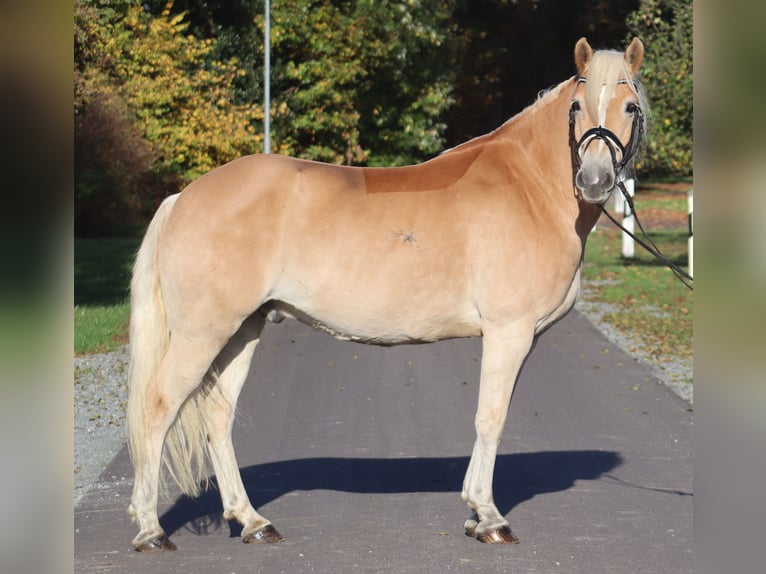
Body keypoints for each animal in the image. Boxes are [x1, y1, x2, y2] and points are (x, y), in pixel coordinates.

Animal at [126, 37, 648, 552]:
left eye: (630, 107)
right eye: (577, 105)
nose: (595, 181)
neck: (528, 188)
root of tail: (182, 197)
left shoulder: (520, 337)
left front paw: (474, 513)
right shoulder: (508, 332)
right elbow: (491, 418)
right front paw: (489, 517)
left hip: (242, 330)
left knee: (217, 417)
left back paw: (252, 521)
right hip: (202, 334)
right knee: (158, 407)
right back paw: (150, 529)